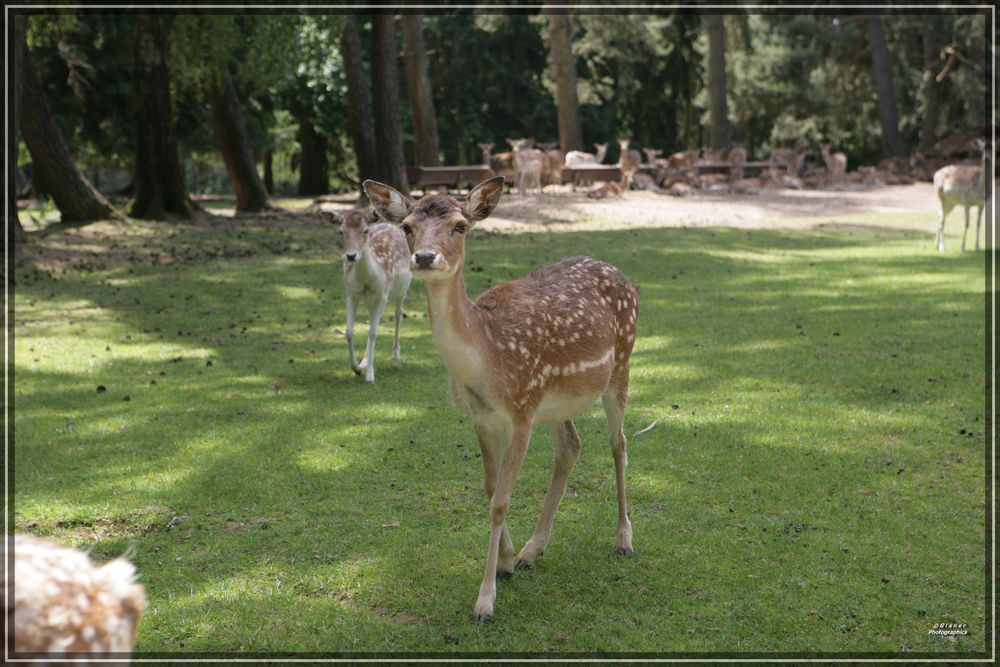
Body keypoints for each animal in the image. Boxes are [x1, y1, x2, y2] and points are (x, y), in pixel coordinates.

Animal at [322, 206, 412, 384]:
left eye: (365, 230)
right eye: (341, 231)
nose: (351, 256)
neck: (366, 280)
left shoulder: (383, 295)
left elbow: (373, 332)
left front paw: (370, 376)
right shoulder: (350, 293)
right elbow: (350, 331)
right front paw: (356, 368)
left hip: (402, 288)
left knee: (398, 314)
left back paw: (395, 355)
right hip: (370, 299)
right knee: (372, 320)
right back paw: (364, 362)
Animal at [366, 177, 640, 628]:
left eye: (460, 226)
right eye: (406, 226)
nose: (424, 256)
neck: (485, 360)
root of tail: (628, 280)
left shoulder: (522, 412)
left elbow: (501, 501)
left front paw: (484, 602)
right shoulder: (481, 417)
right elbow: (489, 488)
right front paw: (508, 562)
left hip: (621, 365)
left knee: (618, 445)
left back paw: (623, 539)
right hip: (556, 401)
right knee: (571, 446)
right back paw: (534, 549)